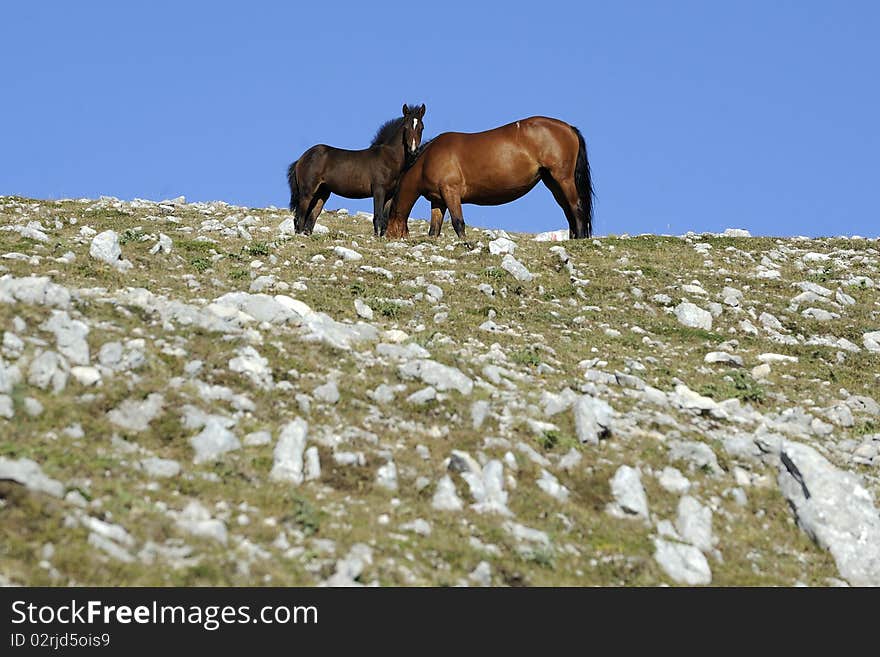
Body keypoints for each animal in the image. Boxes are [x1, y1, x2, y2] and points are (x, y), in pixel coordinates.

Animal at [288, 102, 424, 236]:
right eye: (406, 127)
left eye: (421, 128)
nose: (413, 150)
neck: (389, 157)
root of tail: (301, 158)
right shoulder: (378, 190)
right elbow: (378, 216)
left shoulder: (390, 194)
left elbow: (385, 219)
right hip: (307, 192)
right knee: (300, 217)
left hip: (322, 193)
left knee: (311, 218)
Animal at [384, 116, 596, 240]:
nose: (388, 238)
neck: (429, 158)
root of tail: (568, 128)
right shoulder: (438, 201)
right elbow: (434, 230)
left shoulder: (451, 192)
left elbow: (458, 223)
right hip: (553, 182)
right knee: (568, 210)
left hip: (563, 179)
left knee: (576, 207)